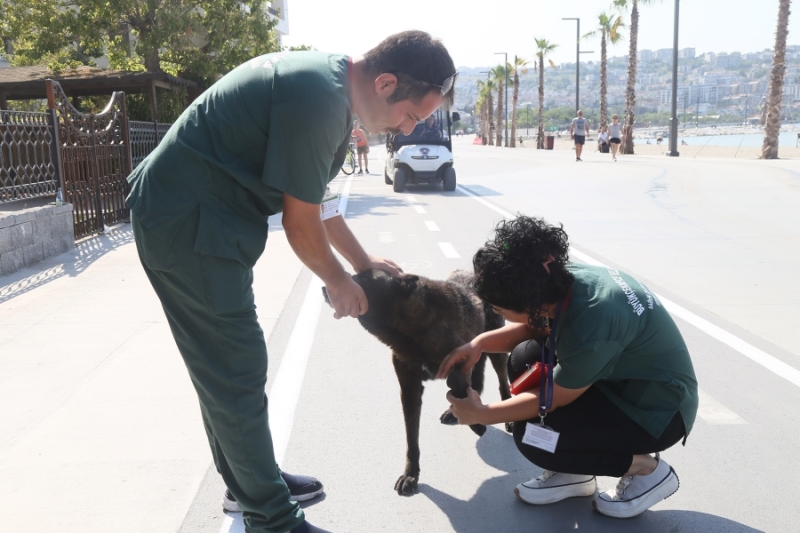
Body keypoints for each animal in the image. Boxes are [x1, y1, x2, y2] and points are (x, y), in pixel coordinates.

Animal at [332, 270, 512, 494]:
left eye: (364, 278)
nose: (326, 288)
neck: (410, 333)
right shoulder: (409, 389)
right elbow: (412, 440)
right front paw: (411, 475)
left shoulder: (462, 360)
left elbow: (457, 384)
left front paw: (477, 424)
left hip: (496, 348)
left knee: (502, 382)